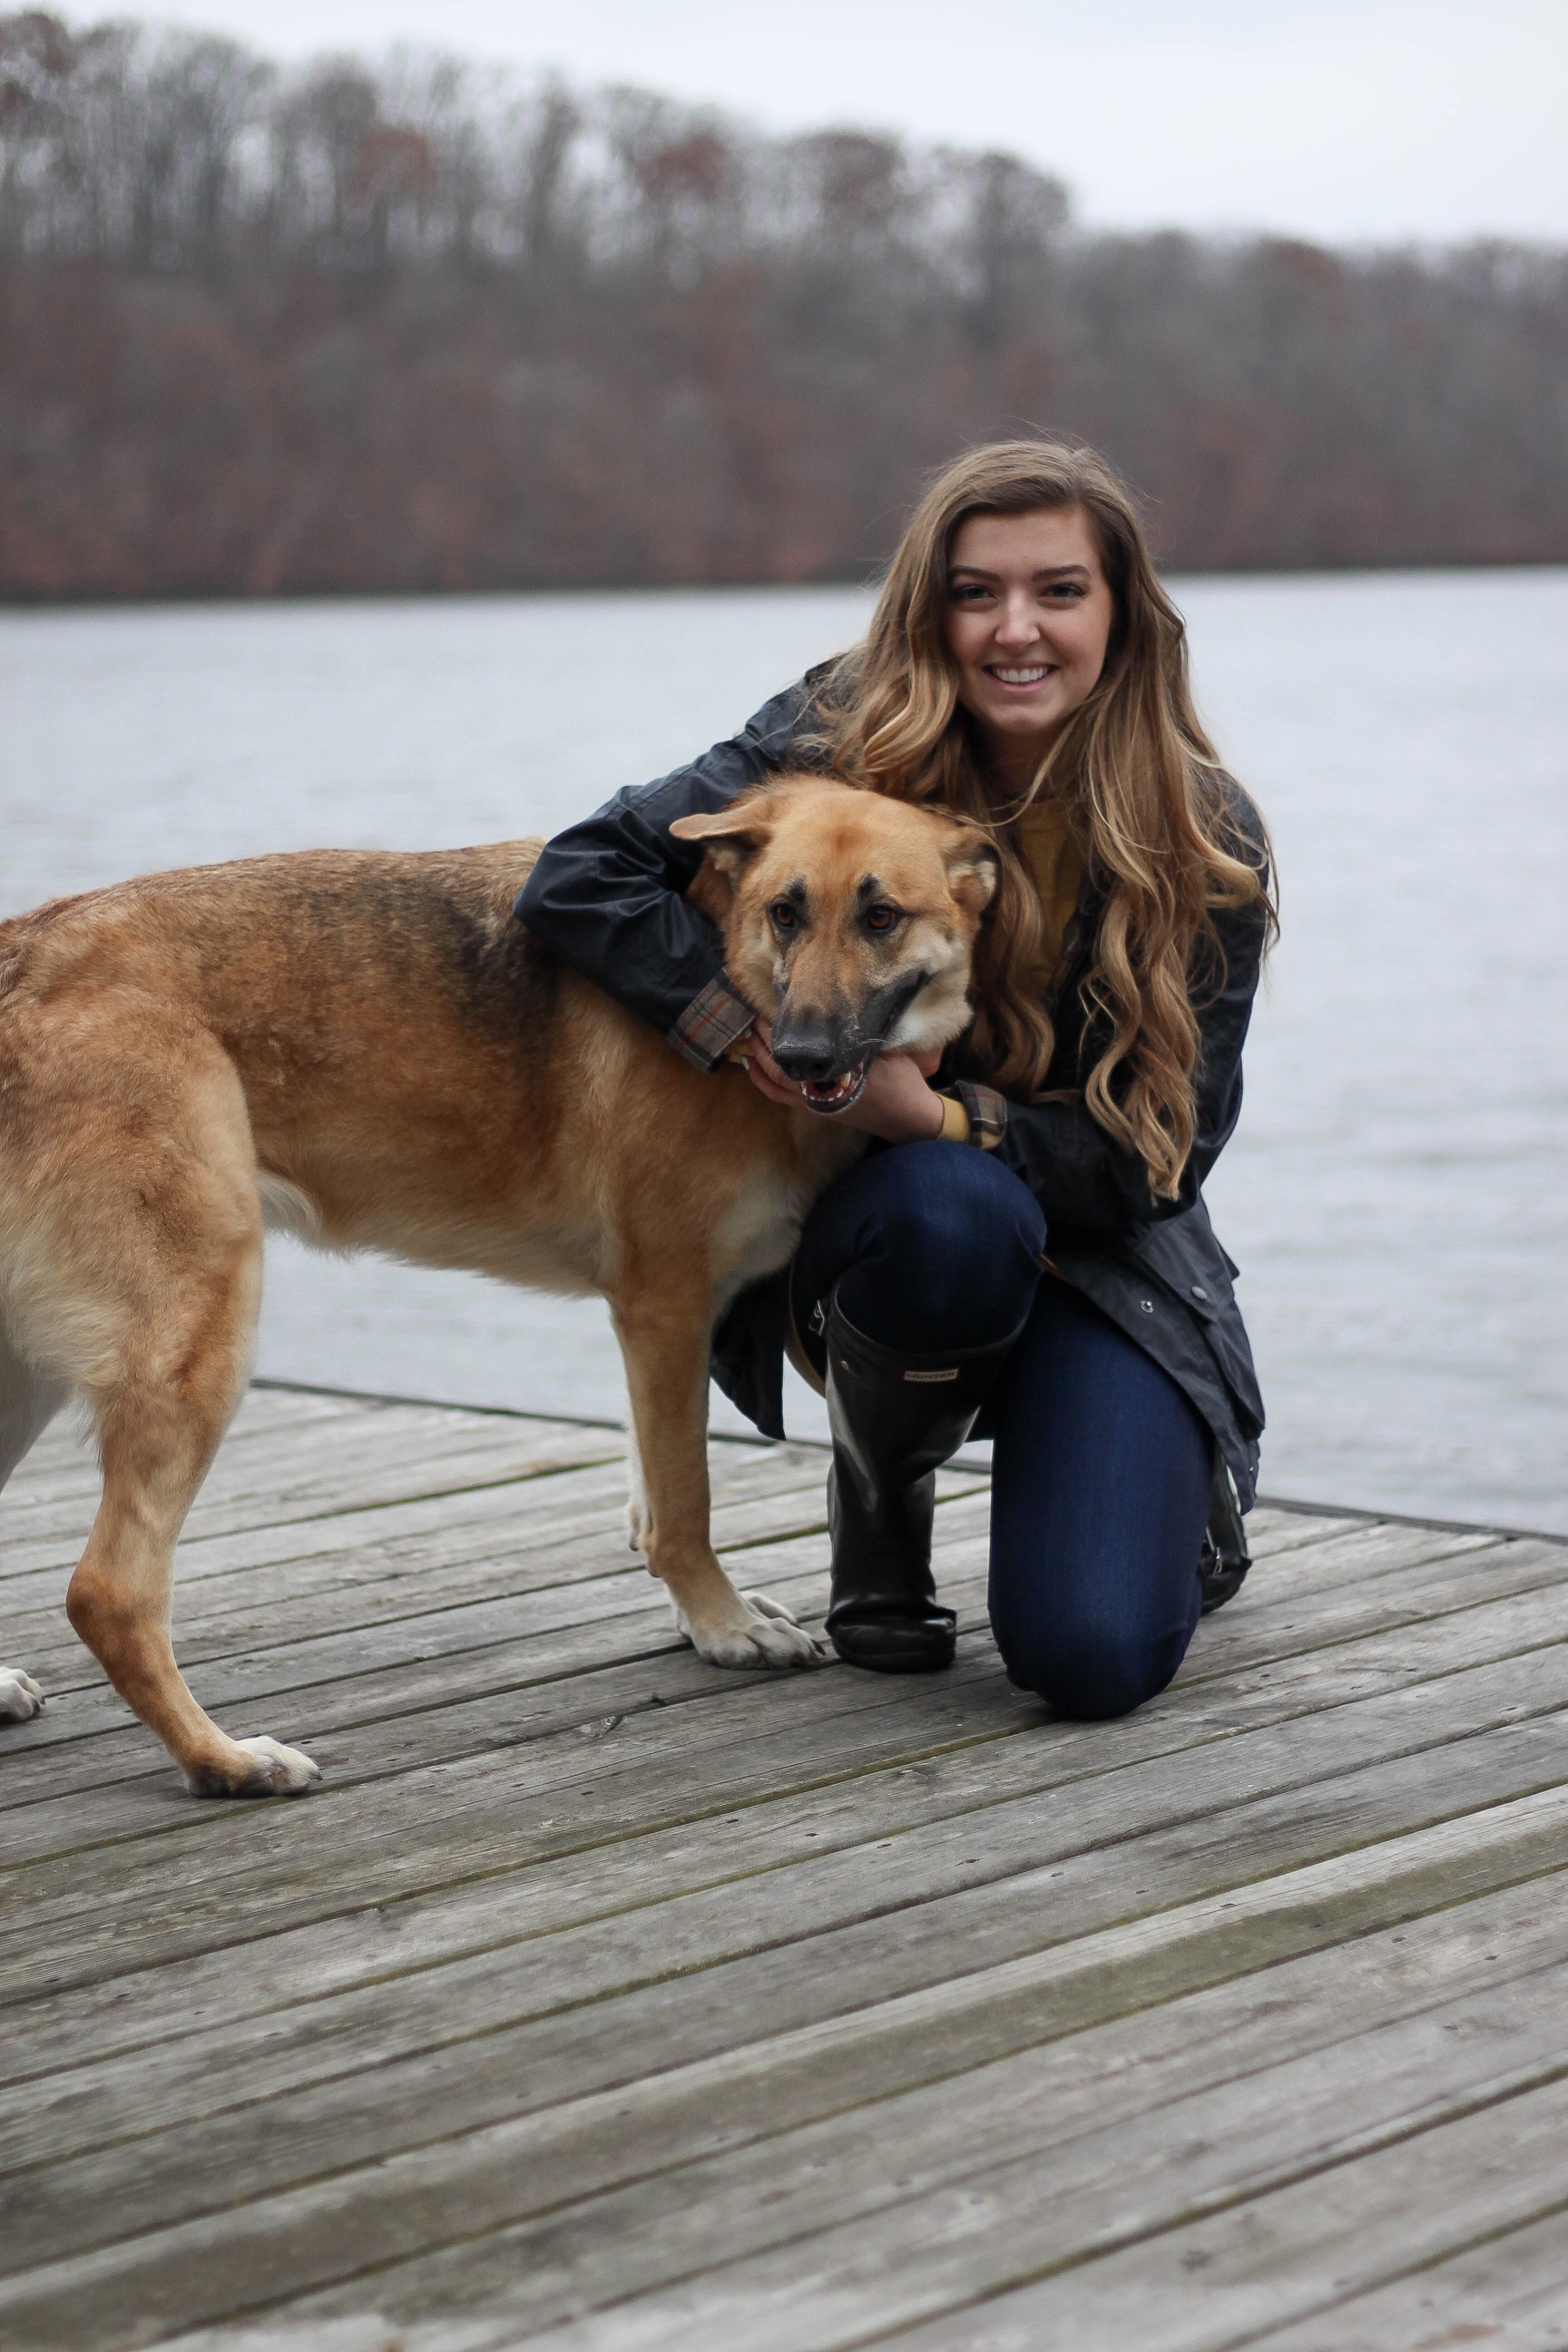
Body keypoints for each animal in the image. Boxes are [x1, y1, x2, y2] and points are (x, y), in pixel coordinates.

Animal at [0, 785, 1001, 1797]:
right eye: (784, 913)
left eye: (881, 917)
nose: (798, 1054)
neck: (723, 960)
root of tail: (22, 953)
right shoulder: (666, 1303)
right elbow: (684, 1501)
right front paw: (721, 1627)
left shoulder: (651, 1331)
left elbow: (649, 1489)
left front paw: (697, 1617)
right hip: (198, 1339)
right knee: (108, 1593)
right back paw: (225, 1760)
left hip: (33, 1370)